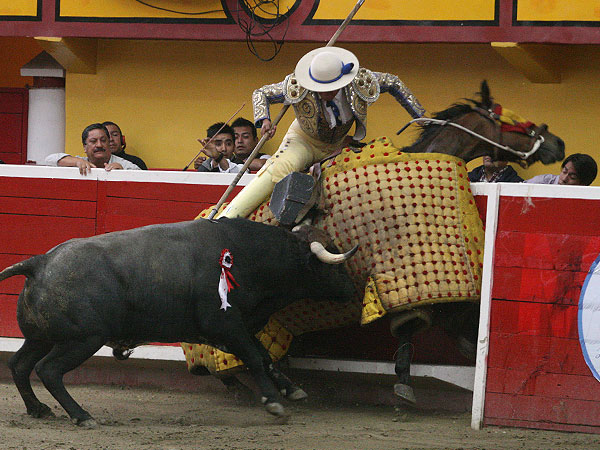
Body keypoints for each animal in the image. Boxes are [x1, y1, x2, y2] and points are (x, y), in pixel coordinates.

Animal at [0, 219, 356, 428]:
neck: (249, 256)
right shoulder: (225, 324)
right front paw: (274, 404)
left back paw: (38, 409)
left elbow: (265, 358)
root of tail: (40, 262)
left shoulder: (236, 326)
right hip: (83, 340)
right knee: (48, 370)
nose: (354, 289)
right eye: (333, 262)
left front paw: (292, 390)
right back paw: (82, 416)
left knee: (19, 365)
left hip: (41, 338)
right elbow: (255, 358)